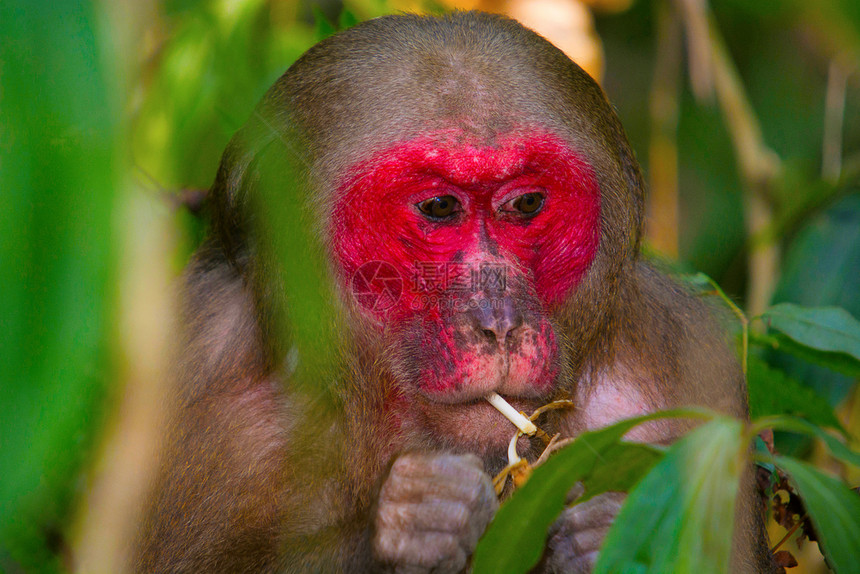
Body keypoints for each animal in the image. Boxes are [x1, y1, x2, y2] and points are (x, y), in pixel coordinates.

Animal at [134, 10, 780, 574]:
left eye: (526, 203)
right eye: (440, 208)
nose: (499, 322)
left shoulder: (694, 369)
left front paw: (606, 535)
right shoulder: (195, 382)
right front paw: (411, 527)